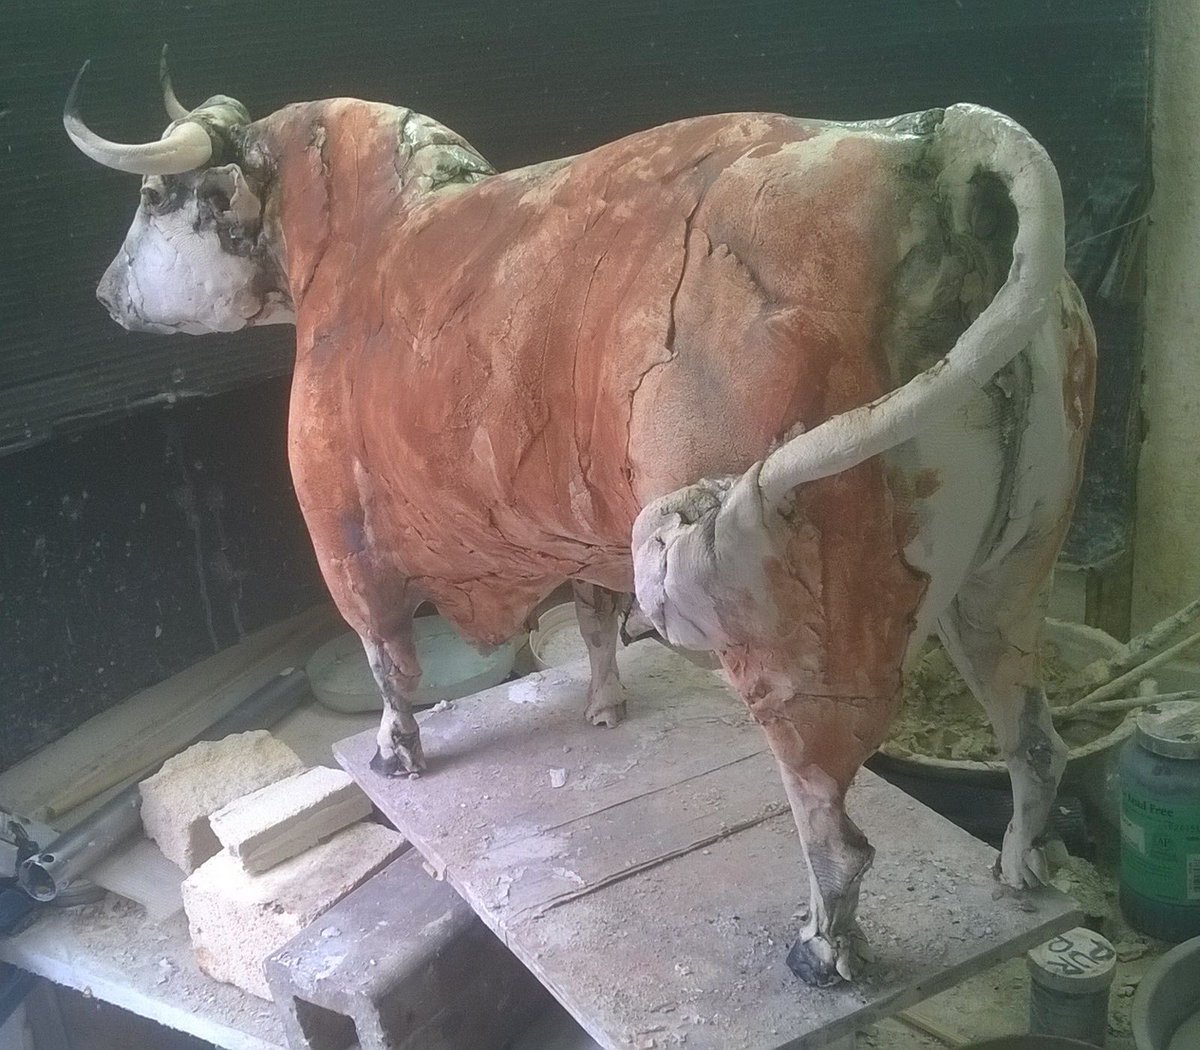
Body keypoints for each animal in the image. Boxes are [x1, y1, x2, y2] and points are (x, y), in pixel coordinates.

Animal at [65, 56, 1095, 987]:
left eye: (155, 194)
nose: (103, 293)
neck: (360, 248)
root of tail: (925, 141)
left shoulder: (342, 536)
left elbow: (388, 662)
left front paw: (400, 755)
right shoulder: (569, 522)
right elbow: (596, 619)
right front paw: (604, 709)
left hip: (811, 641)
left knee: (835, 829)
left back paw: (823, 952)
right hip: (1009, 582)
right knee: (1037, 744)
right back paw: (1019, 870)